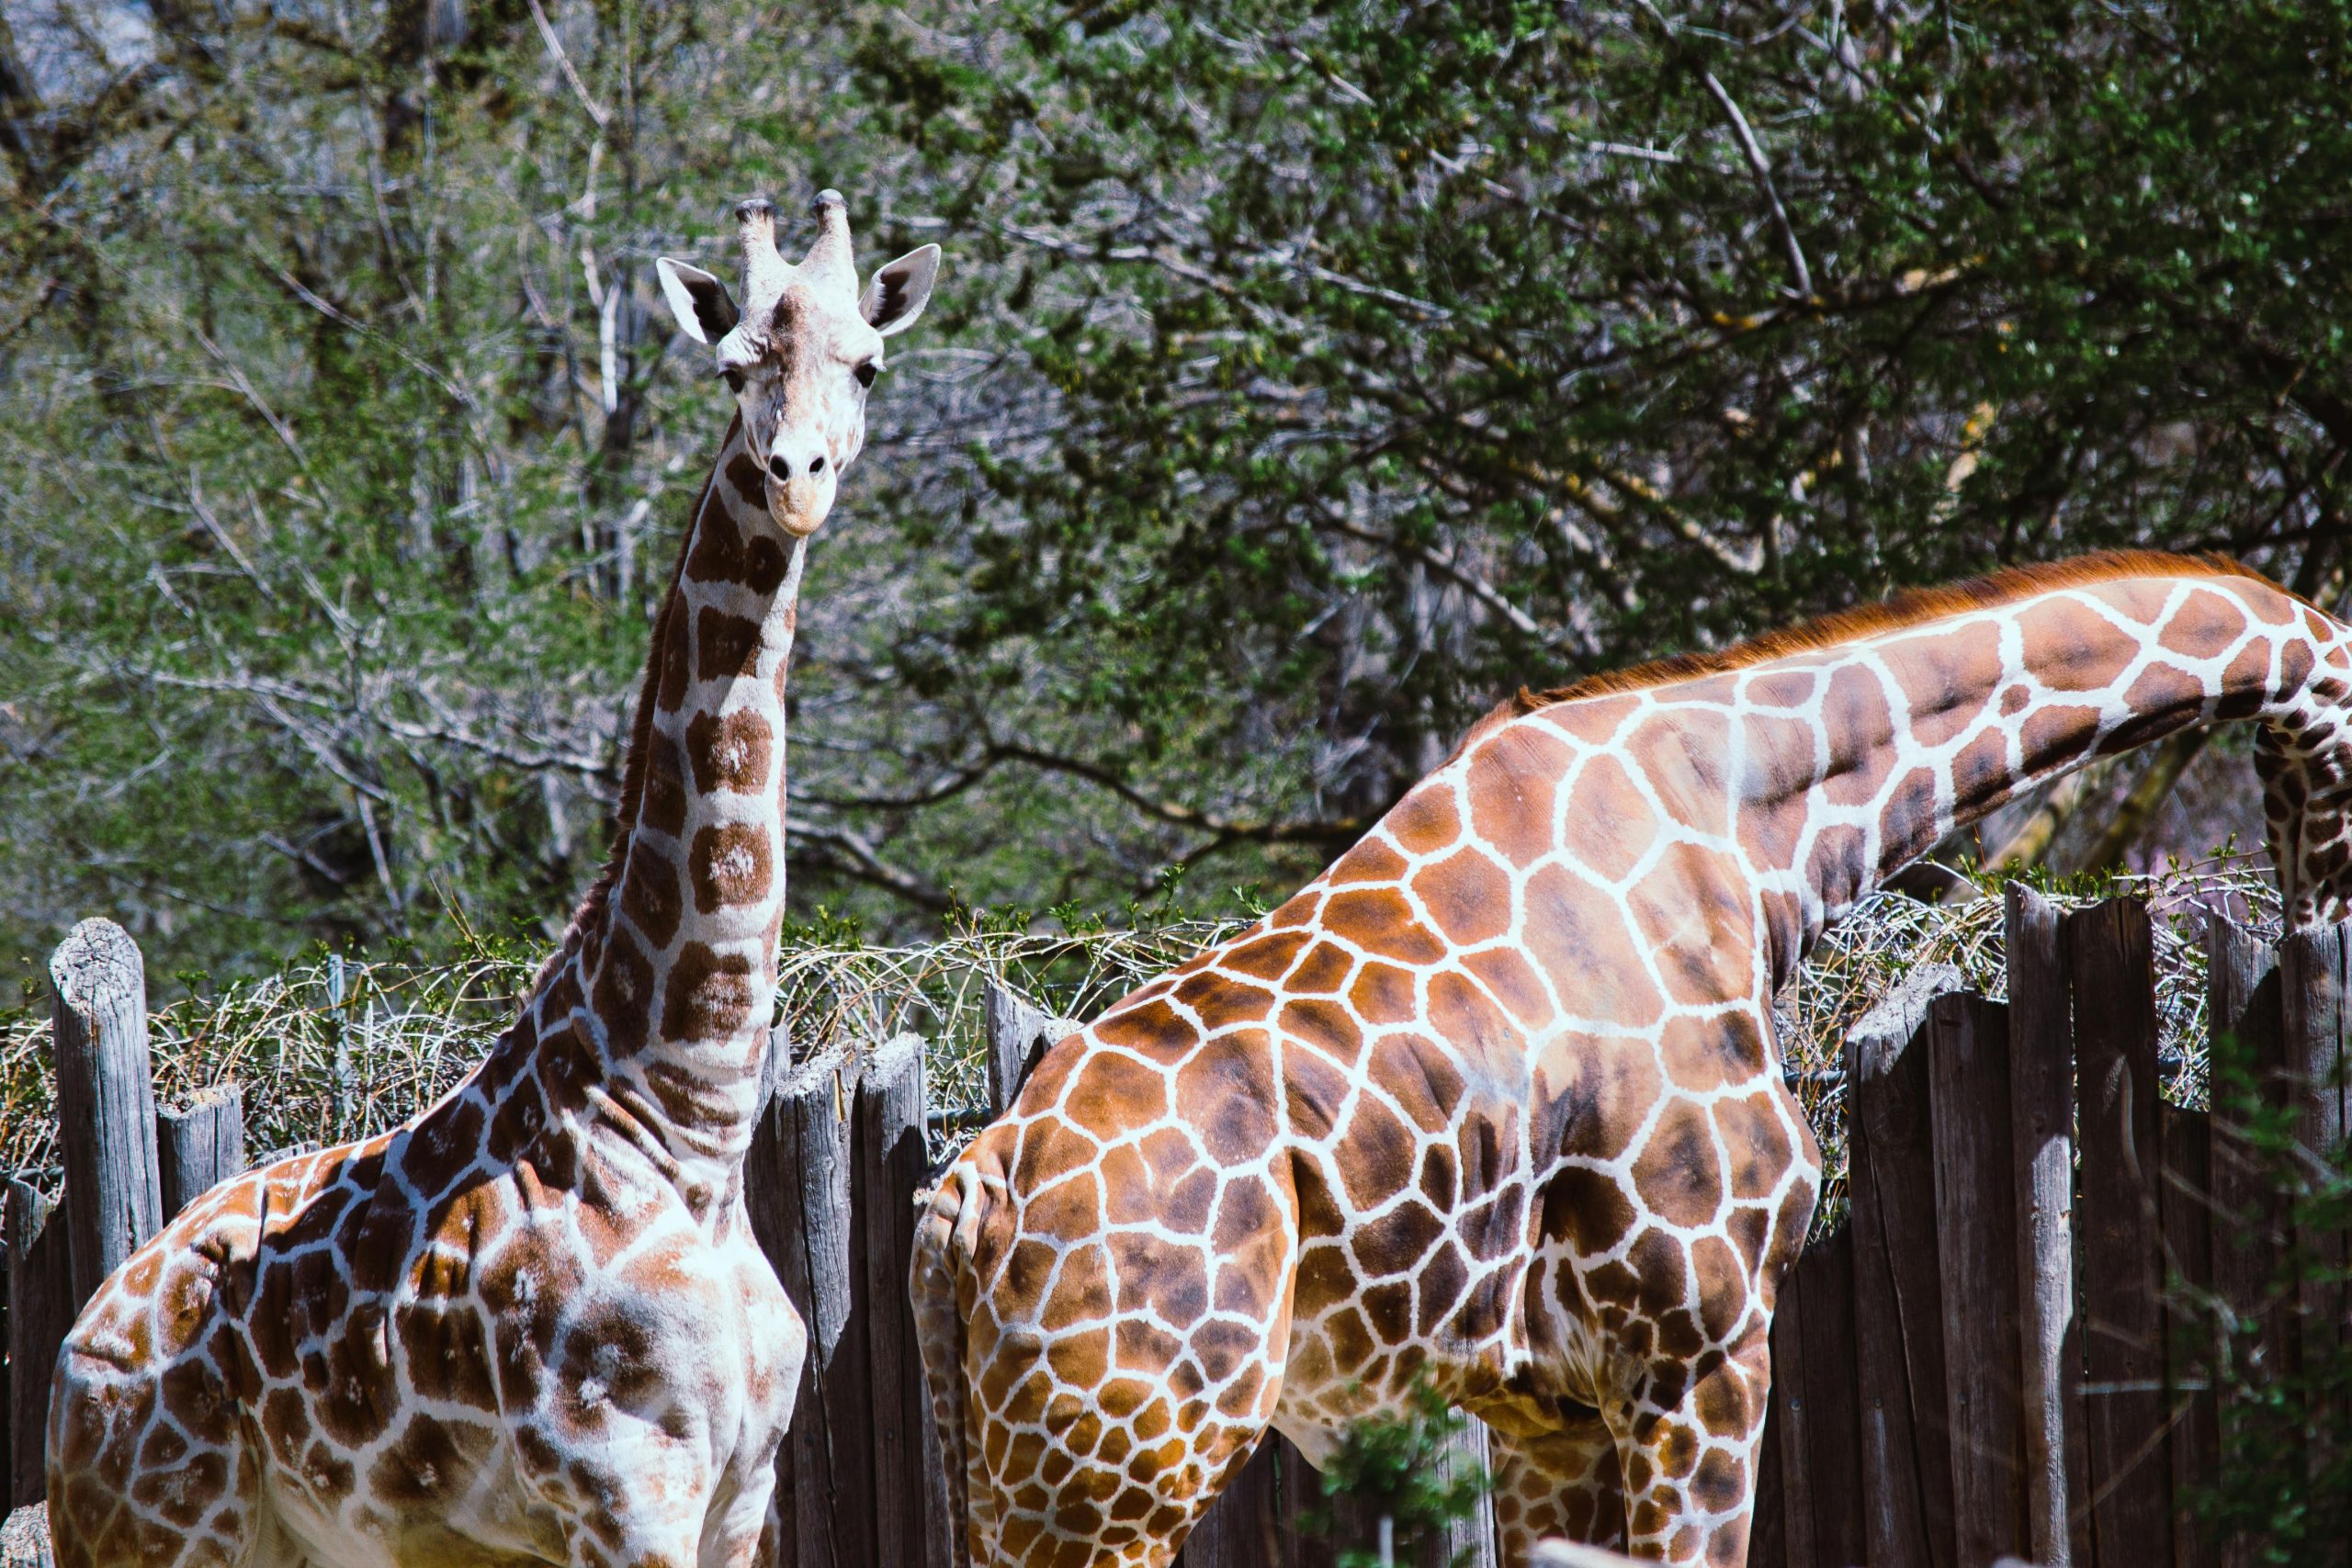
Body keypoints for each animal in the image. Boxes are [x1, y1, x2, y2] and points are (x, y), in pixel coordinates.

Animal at [43, 191, 942, 1568]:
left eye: (869, 364)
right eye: (734, 366)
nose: (798, 479)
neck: (690, 1124)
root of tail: (65, 1359)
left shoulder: (742, 1496)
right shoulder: (624, 1494)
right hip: (161, 1532)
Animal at [913, 551, 2352, 1567]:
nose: (2313, 924)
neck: (1757, 834)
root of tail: (971, 1192)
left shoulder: (1544, 1401)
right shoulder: (1702, 1340)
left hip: (1012, 1461)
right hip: (1126, 1468)